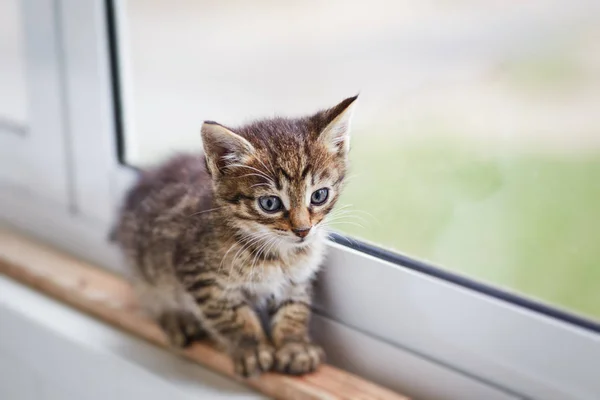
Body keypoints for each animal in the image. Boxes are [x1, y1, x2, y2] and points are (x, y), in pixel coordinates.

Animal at [114, 95, 356, 376]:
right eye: (270, 204)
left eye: (319, 196)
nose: (303, 230)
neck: (277, 252)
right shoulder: (199, 275)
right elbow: (231, 315)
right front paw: (252, 348)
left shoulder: (298, 278)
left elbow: (295, 307)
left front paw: (294, 344)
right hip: (143, 265)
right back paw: (175, 317)